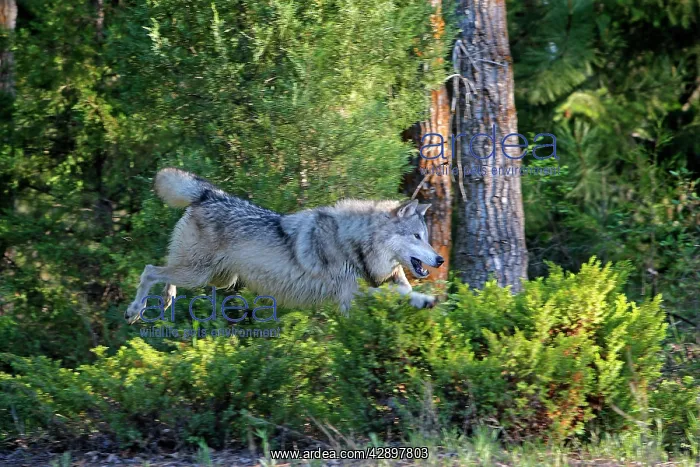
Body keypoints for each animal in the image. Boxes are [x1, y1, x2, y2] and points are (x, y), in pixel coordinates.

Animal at [125, 168, 444, 323]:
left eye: (426, 237)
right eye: (416, 237)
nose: (440, 260)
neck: (356, 244)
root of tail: (209, 194)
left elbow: (405, 290)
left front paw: (422, 299)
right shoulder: (349, 294)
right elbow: (395, 294)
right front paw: (423, 300)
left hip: (216, 278)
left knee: (165, 271)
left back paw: (167, 299)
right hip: (199, 274)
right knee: (150, 270)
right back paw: (135, 310)